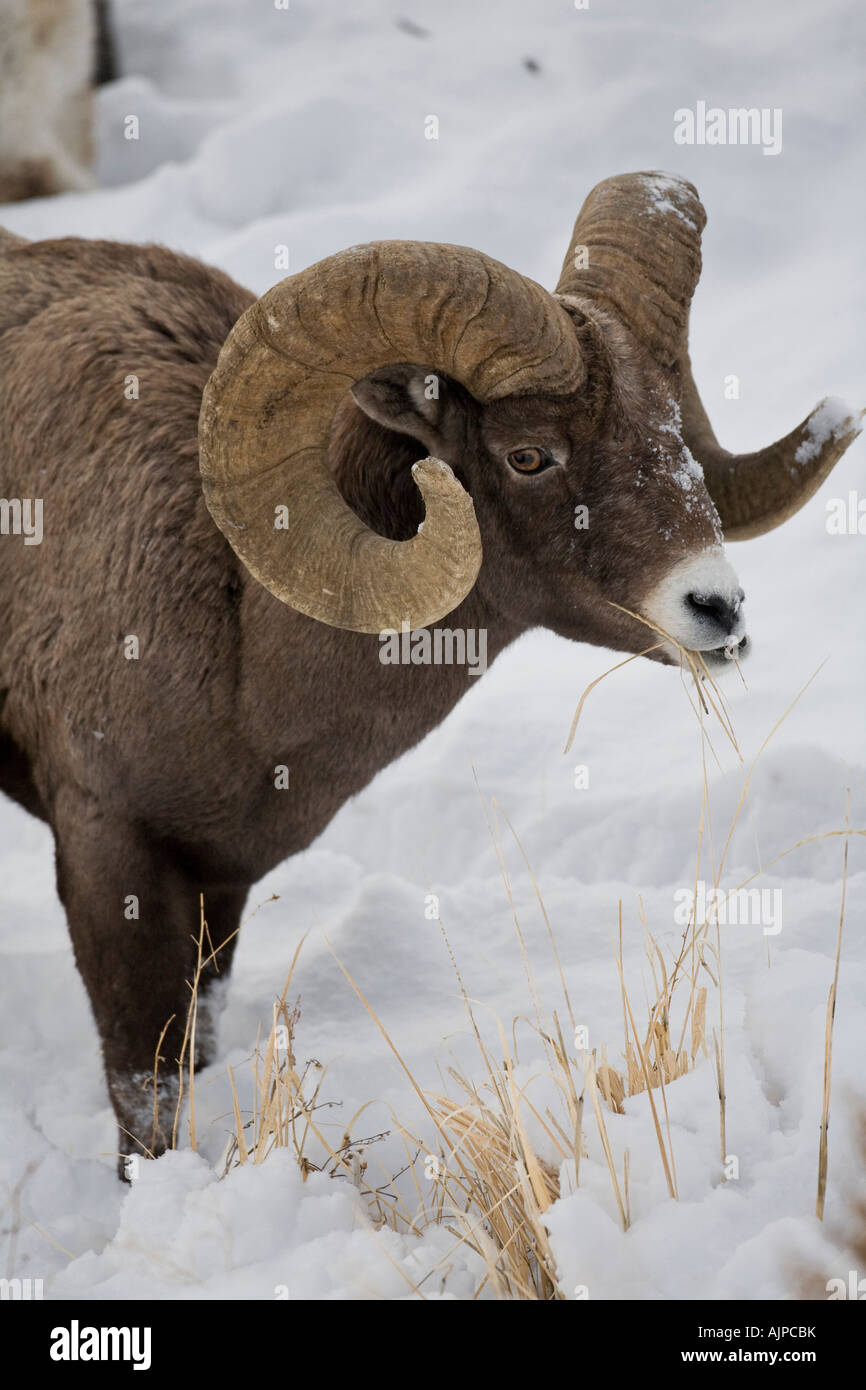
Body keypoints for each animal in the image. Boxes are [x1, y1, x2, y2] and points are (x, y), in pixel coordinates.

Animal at [0, 176, 856, 1173]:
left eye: (674, 430)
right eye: (528, 456)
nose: (717, 609)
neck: (241, 650)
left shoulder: (221, 887)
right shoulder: (111, 855)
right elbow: (149, 1097)